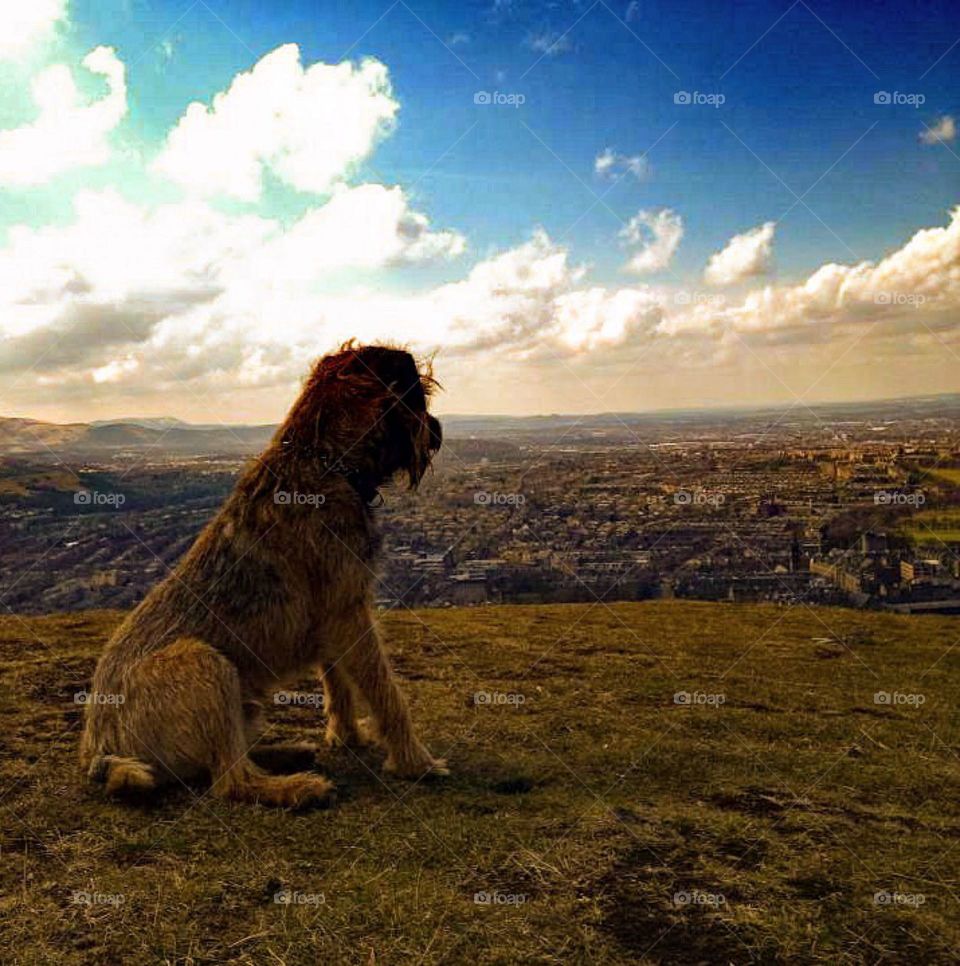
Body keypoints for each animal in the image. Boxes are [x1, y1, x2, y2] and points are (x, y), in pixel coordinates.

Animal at [79, 342, 446, 808]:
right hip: (205, 663)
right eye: (417, 395)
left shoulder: (333, 618)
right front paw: (416, 761)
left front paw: (346, 736)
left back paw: (286, 753)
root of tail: (99, 750)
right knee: (230, 780)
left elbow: (338, 683)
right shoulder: (350, 614)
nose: (437, 430)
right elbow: (386, 693)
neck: (323, 460)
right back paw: (295, 786)